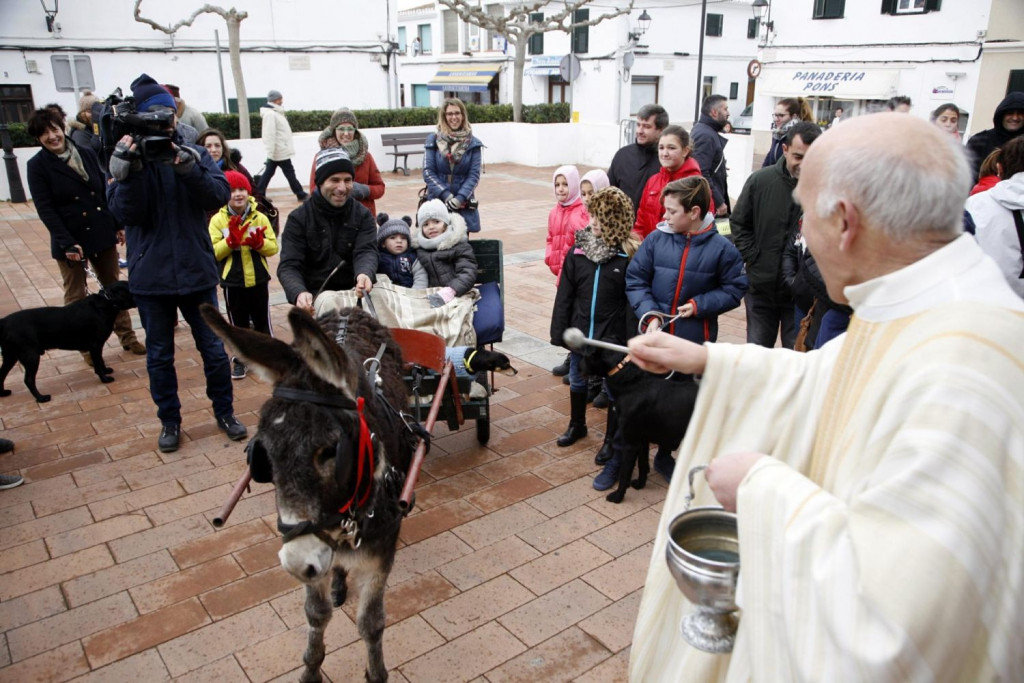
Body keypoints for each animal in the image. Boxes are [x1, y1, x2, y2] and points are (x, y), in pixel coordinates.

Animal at [0, 280, 136, 403]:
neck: (106, 303)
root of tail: (4, 322)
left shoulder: (98, 346)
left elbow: (101, 360)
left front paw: (106, 370)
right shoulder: (95, 345)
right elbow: (97, 363)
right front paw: (105, 379)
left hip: (10, 356)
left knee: (2, 373)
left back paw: (3, 393)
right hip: (30, 356)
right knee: (28, 380)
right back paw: (41, 398)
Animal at [581, 350, 700, 505]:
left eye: (585, 355)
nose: (578, 368)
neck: (630, 381)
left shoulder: (630, 444)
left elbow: (625, 473)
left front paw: (618, 496)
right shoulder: (642, 440)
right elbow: (643, 464)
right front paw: (640, 484)